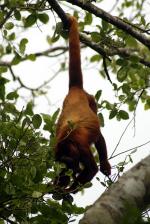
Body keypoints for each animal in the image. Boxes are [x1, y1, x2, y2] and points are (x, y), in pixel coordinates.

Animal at [54, 15, 110, 192]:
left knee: (99, 136)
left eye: (71, 162)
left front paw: (66, 190)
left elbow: (91, 169)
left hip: (92, 100)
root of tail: (75, 89)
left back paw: (105, 164)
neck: (68, 140)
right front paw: (57, 186)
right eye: (66, 166)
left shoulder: (81, 147)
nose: (74, 169)